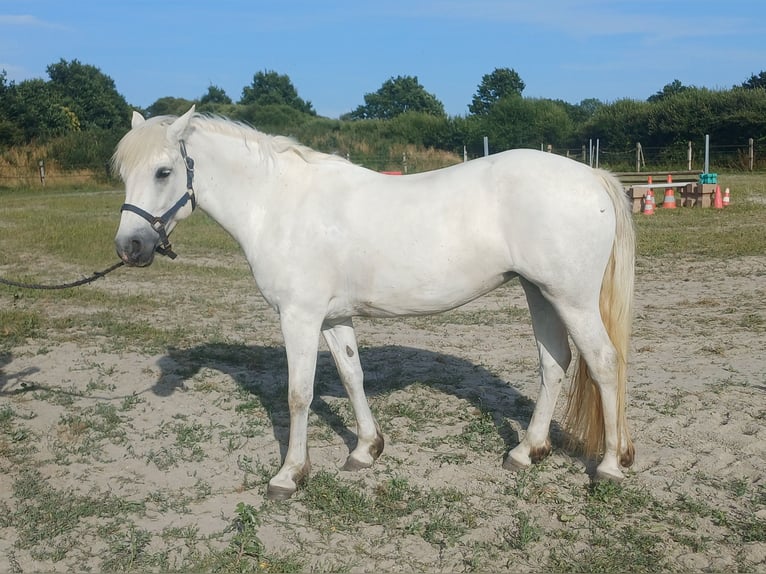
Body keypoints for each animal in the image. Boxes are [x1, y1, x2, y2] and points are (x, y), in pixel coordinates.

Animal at [113, 106, 635, 500]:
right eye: (123, 173)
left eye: (163, 171)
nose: (129, 247)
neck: (281, 204)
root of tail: (592, 176)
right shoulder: (333, 318)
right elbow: (351, 376)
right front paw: (365, 450)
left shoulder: (299, 318)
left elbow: (298, 394)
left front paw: (289, 475)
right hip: (540, 293)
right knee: (555, 363)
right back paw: (527, 451)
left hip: (571, 299)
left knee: (604, 362)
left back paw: (610, 465)